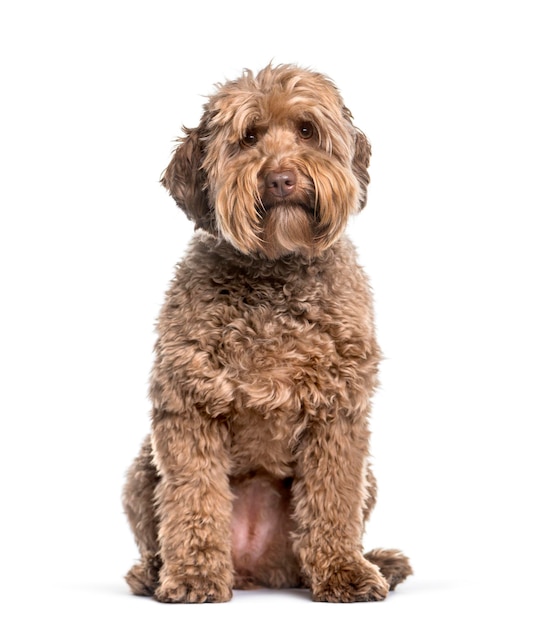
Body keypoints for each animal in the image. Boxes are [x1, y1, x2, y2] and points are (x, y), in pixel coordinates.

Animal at [123, 62, 412, 600]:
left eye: (306, 130)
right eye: (248, 137)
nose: (280, 179)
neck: (274, 269)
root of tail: (258, 569)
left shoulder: (339, 414)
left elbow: (333, 498)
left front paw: (345, 571)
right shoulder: (187, 407)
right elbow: (193, 497)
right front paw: (193, 575)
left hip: (369, 477)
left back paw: (373, 561)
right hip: (140, 471)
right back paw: (154, 571)